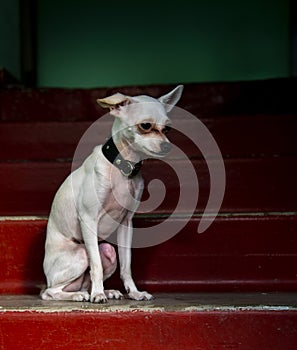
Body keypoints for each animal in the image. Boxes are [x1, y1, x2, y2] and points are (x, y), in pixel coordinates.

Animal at [40, 83, 183, 302]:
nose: (167, 145)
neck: (123, 166)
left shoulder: (126, 224)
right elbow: (96, 266)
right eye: (145, 126)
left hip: (107, 251)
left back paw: (103, 291)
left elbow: (126, 266)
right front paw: (98, 295)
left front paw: (134, 292)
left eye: (167, 128)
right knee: (50, 292)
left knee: (86, 279)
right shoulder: (88, 220)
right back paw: (82, 295)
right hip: (80, 256)